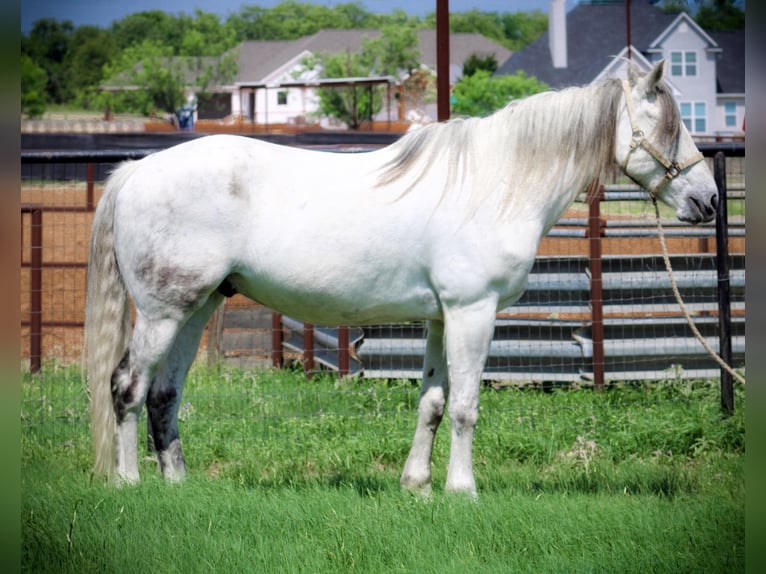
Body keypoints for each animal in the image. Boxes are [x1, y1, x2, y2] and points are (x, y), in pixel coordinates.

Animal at [85, 62, 720, 496]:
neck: (496, 182)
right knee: (127, 388)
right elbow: (464, 405)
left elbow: (432, 403)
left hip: (196, 309)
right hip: (163, 313)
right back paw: (128, 483)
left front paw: (417, 486)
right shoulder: (472, 312)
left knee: (164, 395)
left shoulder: (442, 317)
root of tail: (138, 171)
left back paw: (178, 485)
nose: (710, 200)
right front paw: (463, 490)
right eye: (668, 124)